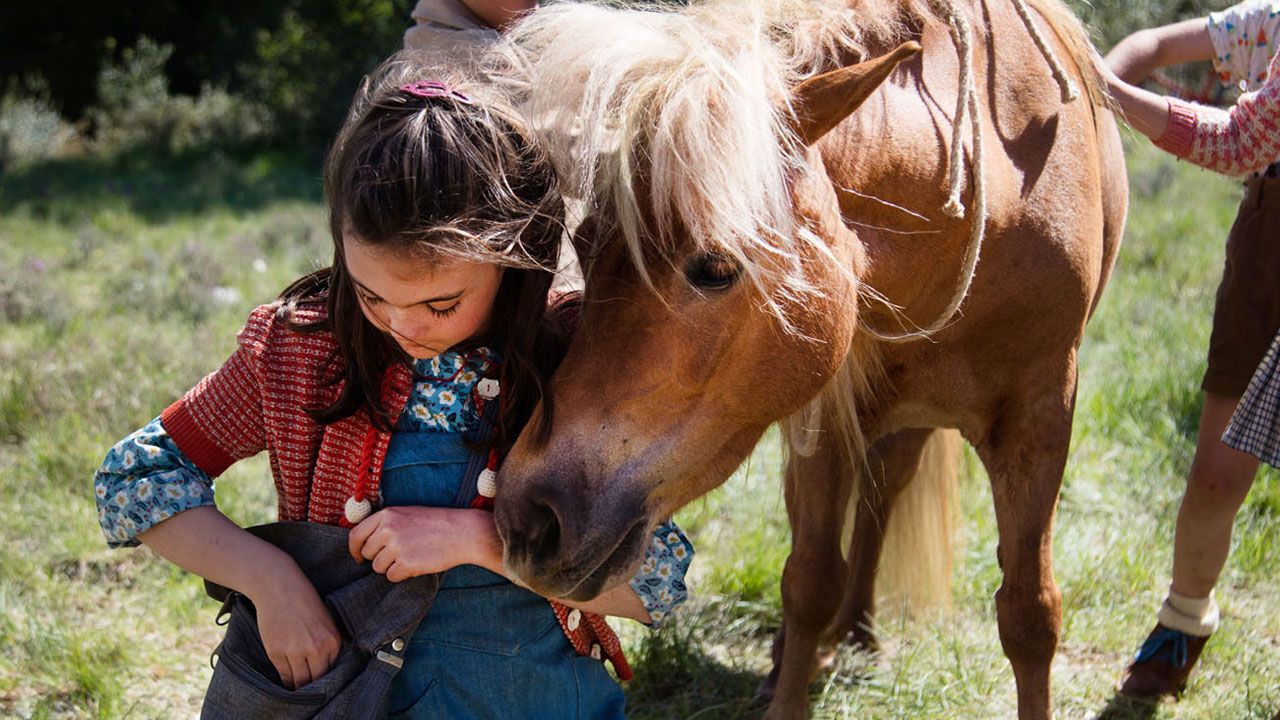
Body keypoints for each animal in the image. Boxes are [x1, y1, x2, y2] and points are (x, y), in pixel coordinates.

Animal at [483, 2, 1126, 712]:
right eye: (586, 243)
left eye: (714, 267)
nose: (527, 518)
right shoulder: (826, 414)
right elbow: (812, 580)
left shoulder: (1041, 417)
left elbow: (1030, 613)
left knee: (883, 496)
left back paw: (860, 634)